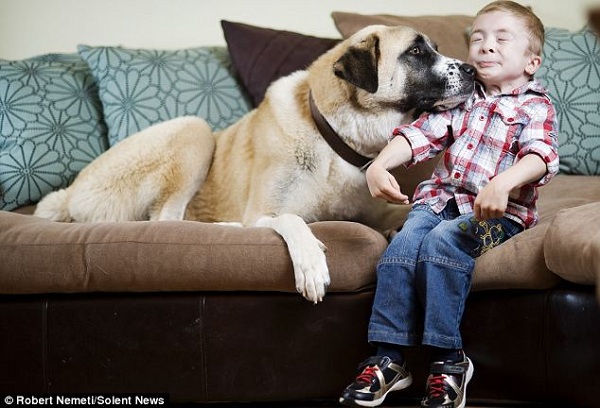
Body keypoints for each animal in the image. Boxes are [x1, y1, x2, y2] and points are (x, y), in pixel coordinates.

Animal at [35, 24, 476, 302]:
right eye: (416, 52)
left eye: (434, 48)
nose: (472, 69)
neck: (331, 136)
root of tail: (68, 193)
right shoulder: (265, 209)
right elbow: (291, 219)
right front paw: (311, 263)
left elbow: (399, 212)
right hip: (193, 130)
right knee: (165, 221)